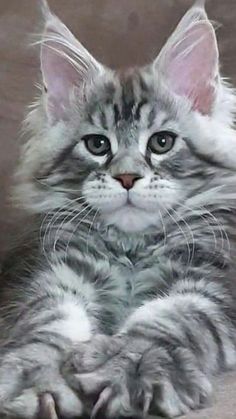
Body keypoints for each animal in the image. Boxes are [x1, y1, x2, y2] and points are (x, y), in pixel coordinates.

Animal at [0, 0, 236, 418]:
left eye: (161, 142)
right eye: (97, 145)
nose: (126, 177)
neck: (133, 246)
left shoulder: (210, 284)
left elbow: (166, 321)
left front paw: (129, 367)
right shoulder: (59, 275)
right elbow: (50, 321)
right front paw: (34, 375)